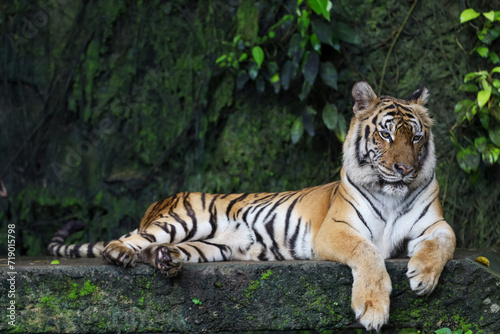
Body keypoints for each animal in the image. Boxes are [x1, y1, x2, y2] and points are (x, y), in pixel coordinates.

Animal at [48, 82, 456, 332]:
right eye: (385, 134)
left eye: (415, 136)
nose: (405, 169)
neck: (392, 193)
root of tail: (160, 201)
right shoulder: (337, 229)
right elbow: (368, 253)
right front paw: (372, 308)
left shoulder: (433, 224)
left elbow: (445, 240)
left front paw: (423, 275)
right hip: (183, 220)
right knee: (128, 240)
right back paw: (120, 253)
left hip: (213, 246)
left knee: (157, 249)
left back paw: (167, 261)